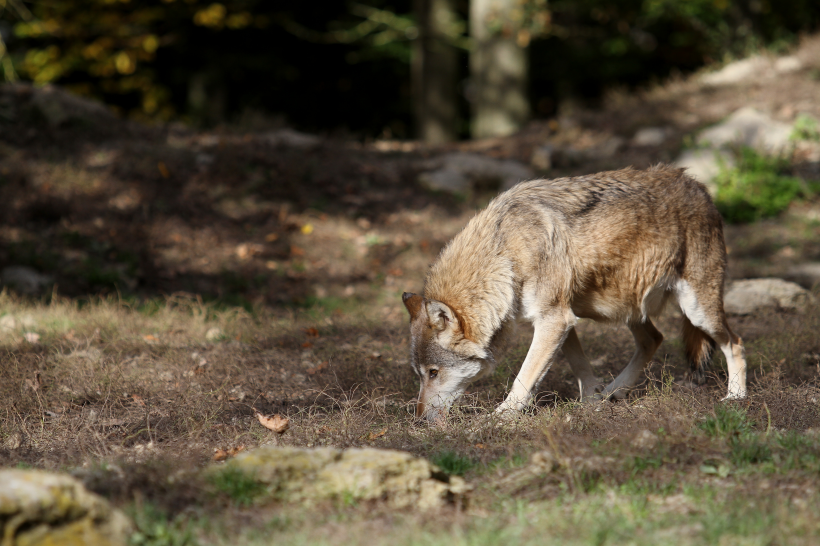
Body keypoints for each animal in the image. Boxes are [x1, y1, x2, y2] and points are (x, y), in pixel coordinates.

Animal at [400, 165, 748, 420]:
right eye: (419, 374)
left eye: (433, 373)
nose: (418, 418)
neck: (505, 251)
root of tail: (699, 186)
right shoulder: (560, 320)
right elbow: (580, 367)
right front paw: (592, 401)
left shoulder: (554, 320)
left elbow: (523, 379)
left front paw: (499, 418)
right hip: (625, 308)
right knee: (654, 339)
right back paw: (614, 392)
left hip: (696, 310)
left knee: (735, 342)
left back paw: (736, 396)